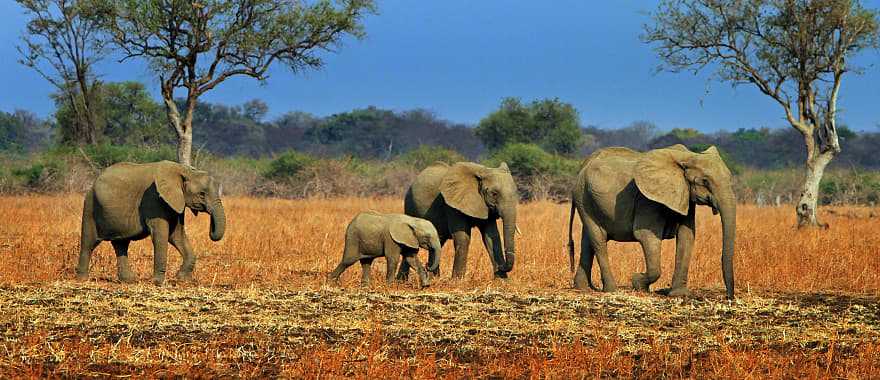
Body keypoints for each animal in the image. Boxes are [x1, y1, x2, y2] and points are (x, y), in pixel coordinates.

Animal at [76, 160, 227, 284]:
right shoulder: (153, 199)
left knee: (121, 244)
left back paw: (129, 280)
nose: (211, 227)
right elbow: (161, 236)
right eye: (202, 194)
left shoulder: (175, 202)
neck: (185, 170)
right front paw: (158, 282)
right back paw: (82, 279)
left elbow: (176, 235)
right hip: (90, 206)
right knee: (88, 243)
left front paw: (183, 279)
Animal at [564, 144, 736, 298]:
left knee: (588, 241)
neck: (687, 156)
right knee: (598, 240)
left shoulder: (685, 195)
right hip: (583, 197)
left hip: (587, 199)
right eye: (705, 181)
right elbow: (646, 236)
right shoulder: (646, 200)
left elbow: (687, 236)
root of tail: (583, 166)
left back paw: (583, 288)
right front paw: (637, 282)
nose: (729, 296)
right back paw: (611, 290)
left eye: (730, 179)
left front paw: (678, 294)